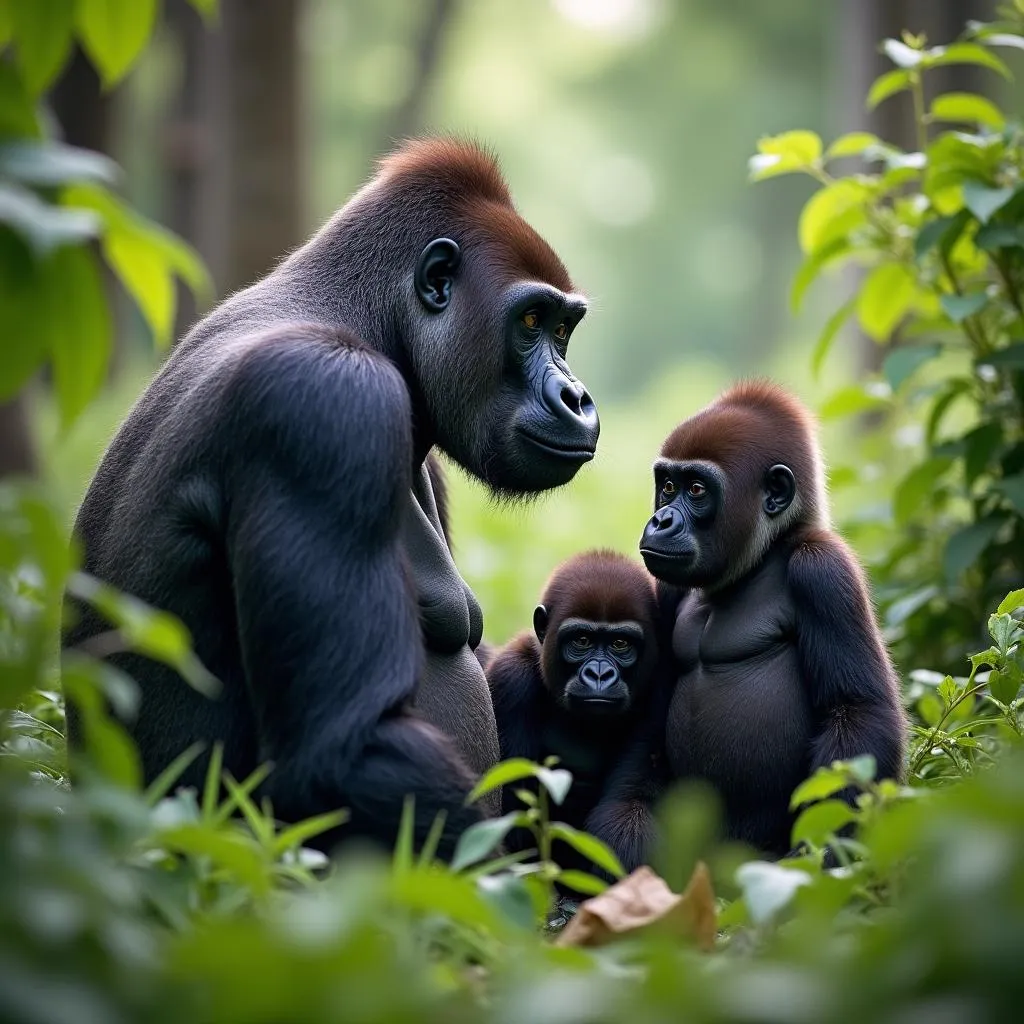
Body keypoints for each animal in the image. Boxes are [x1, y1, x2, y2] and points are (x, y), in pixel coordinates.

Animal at [66, 138, 598, 856]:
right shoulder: (327, 401)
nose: (576, 396)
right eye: (532, 320)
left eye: (564, 331)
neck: (358, 317)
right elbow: (338, 753)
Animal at [638, 382, 905, 856]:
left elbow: (858, 714)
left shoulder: (823, 570)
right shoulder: (667, 590)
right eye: (668, 486)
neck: (765, 555)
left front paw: (826, 858)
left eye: (697, 490)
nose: (660, 520)